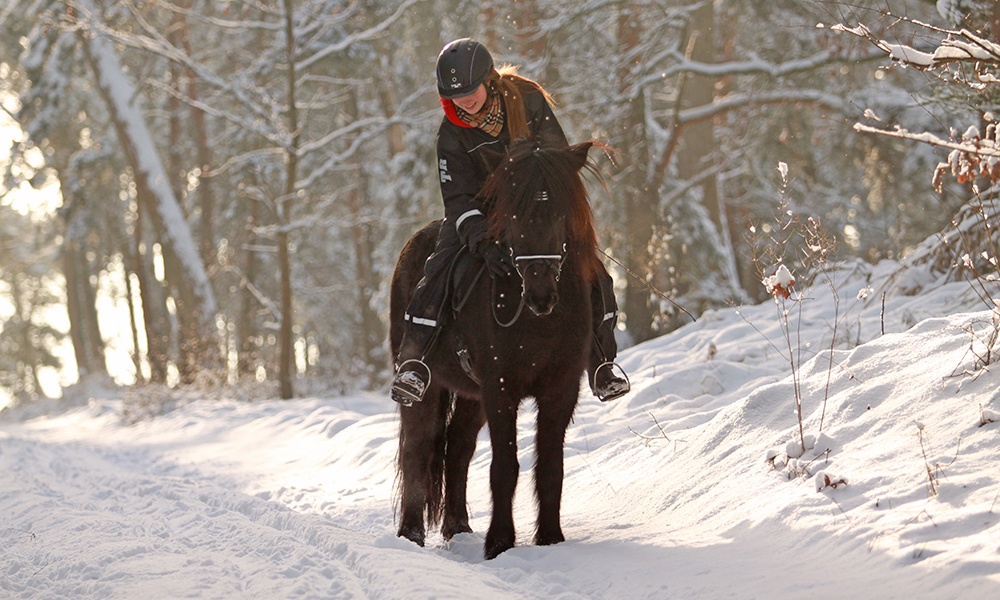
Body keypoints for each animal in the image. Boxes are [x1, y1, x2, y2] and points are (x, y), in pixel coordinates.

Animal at [386, 138, 596, 560]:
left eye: (561, 213)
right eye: (512, 215)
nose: (540, 293)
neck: (538, 323)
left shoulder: (560, 389)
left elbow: (551, 467)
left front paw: (551, 539)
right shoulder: (501, 390)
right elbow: (504, 468)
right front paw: (499, 542)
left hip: (472, 397)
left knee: (457, 448)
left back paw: (458, 527)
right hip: (429, 388)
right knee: (418, 446)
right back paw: (411, 534)